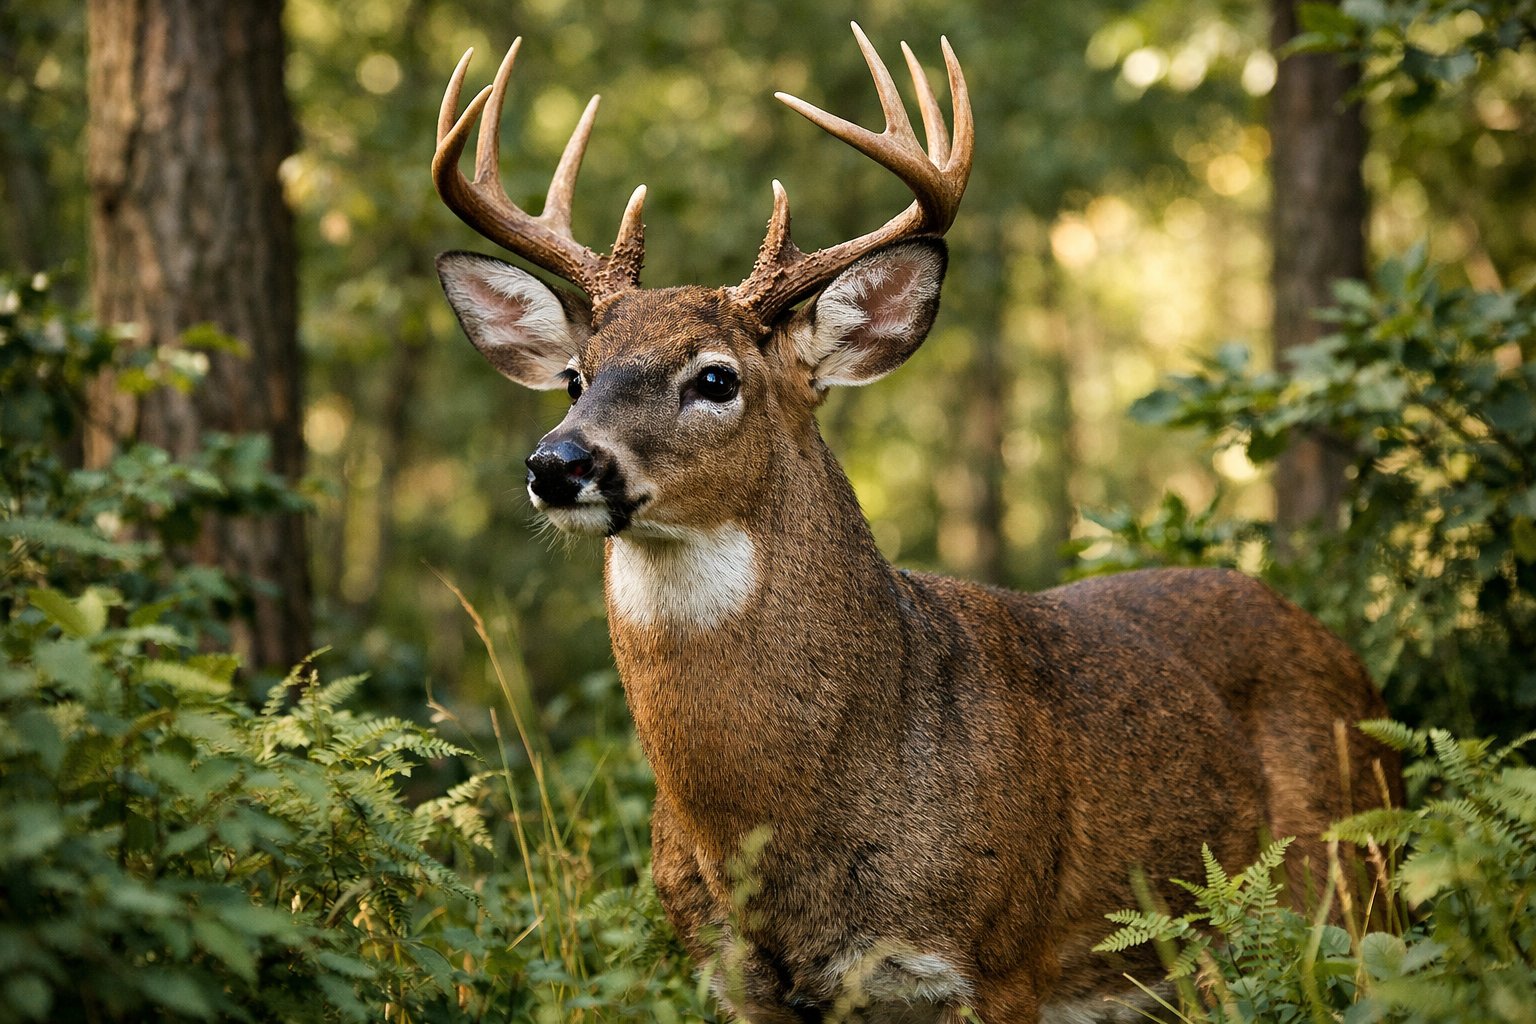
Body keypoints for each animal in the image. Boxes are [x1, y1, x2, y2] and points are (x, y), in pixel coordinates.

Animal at [429, 25, 1398, 1024]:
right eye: (575, 377)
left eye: (715, 377)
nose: (557, 463)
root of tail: (1347, 655)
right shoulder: (731, 978)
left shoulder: (999, 960)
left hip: (1355, 885)